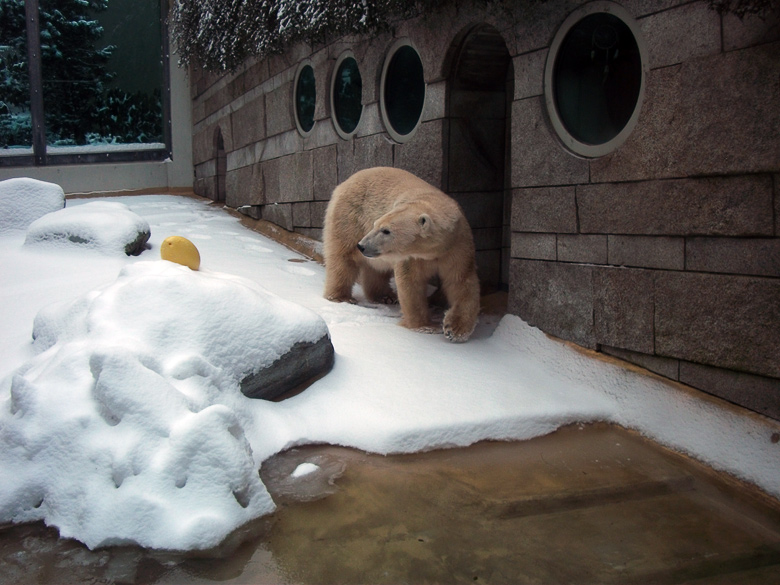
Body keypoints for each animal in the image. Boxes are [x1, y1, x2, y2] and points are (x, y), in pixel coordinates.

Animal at [322, 167, 482, 342]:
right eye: (376, 225)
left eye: (386, 230)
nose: (362, 246)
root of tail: (343, 184)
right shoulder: (411, 256)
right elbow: (411, 283)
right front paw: (425, 326)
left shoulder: (457, 246)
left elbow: (461, 281)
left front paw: (455, 329)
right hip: (350, 217)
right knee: (343, 258)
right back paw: (341, 297)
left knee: (377, 268)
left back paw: (384, 296)